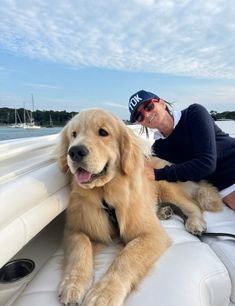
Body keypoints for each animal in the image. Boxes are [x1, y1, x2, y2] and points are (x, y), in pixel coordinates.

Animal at [57, 109, 222, 304]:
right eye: (73, 134)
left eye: (103, 132)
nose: (74, 151)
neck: (105, 195)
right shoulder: (75, 229)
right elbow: (80, 247)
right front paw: (73, 284)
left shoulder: (151, 234)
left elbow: (126, 257)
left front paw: (104, 294)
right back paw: (164, 211)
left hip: (166, 186)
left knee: (193, 205)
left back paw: (194, 222)